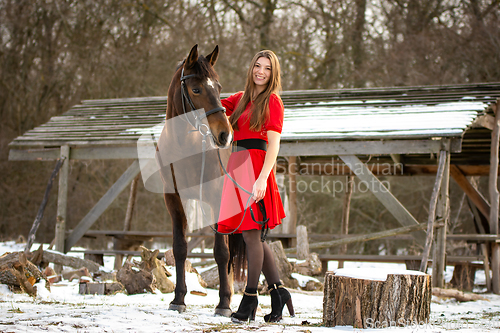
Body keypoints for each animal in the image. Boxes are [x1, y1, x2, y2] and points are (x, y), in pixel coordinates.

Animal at [156, 44, 242, 316]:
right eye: (196, 89)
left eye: (219, 87)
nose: (224, 135)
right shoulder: (174, 200)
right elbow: (179, 248)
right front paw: (178, 299)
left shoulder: (216, 199)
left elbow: (221, 252)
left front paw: (224, 303)